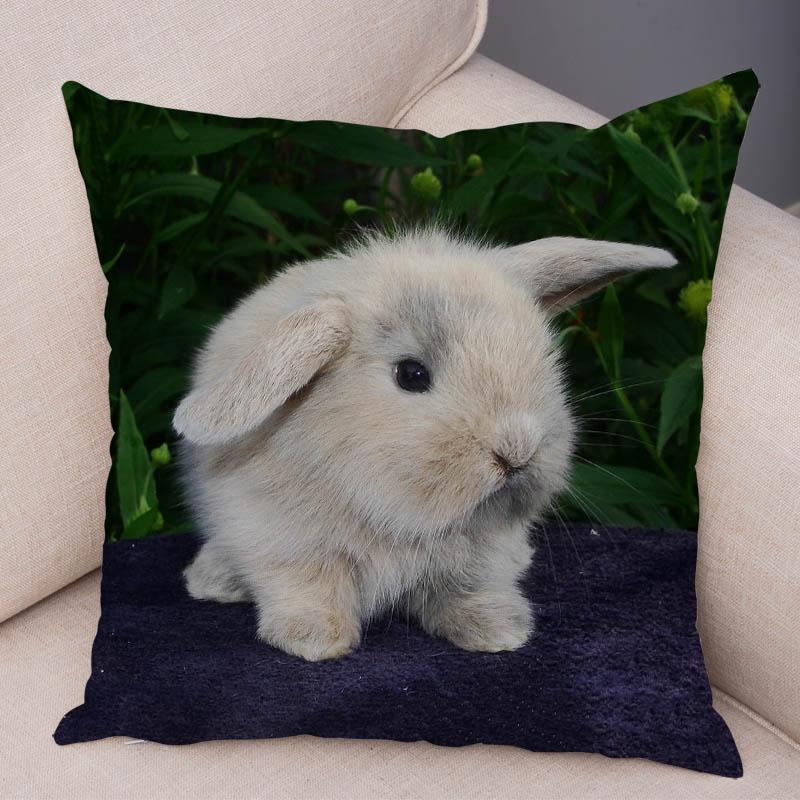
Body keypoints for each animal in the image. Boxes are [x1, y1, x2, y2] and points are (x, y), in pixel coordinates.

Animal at [174, 228, 675, 661]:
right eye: (411, 375)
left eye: (542, 358)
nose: (516, 450)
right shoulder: (283, 541)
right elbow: (308, 587)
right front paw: (315, 640)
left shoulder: (483, 555)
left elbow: (469, 590)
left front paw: (499, 631)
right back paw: (209, 582)